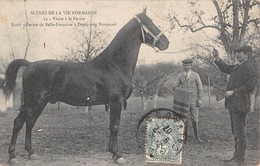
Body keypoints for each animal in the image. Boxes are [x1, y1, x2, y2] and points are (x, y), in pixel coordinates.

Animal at [4, 8, 171, 164]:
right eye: (150, 23)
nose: (166, 43)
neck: (114, 65)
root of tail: (29, 64)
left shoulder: (113, 103)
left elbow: (112, 126)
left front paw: (112, 152)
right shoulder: (116, 102)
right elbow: (115, 126)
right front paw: (118, 155)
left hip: (41, 103)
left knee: (30, 122)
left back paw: (31, 153)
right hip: (33, 102)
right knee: (19, 122)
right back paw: (12, 156)